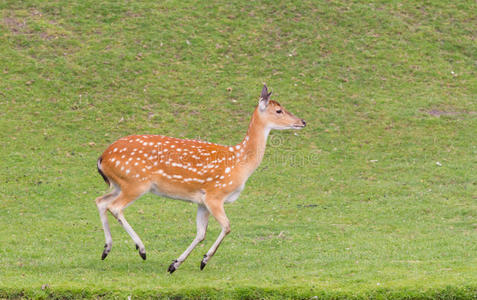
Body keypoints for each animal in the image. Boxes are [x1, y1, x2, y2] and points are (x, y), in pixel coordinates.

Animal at [95, 84, 306, 272]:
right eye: (279, 110)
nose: (302, 121)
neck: (240, 163)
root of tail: (102, 157)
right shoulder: (215, 195)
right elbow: (227, 227)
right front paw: (204, 261)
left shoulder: (201, 201)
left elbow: (201, 234)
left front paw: (174, 264)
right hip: (135, 183)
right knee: (115, 207)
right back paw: (142, 250)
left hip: (119, 184)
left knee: (100, 201)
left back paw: (106, 250)